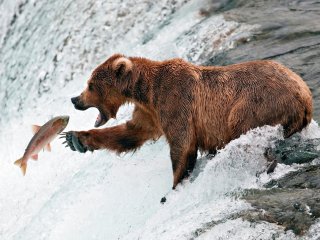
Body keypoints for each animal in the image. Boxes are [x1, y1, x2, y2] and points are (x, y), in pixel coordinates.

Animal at [65, 54, 312, 189]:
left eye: (90, 85)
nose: (75, 99)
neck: (145, 91)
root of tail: (305, 96)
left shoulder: (175, 101)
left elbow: (182, 145)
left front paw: (175, 185)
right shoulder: (150, 112)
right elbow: (131, 133)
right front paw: (75, 139)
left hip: (255, 104)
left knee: (244, 128)